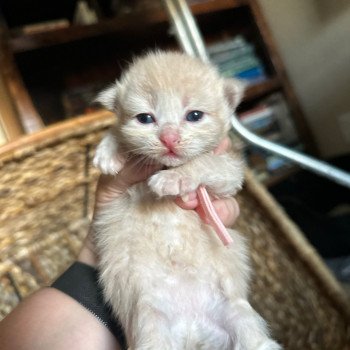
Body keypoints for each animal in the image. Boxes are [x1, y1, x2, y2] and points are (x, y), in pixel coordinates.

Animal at [93, 50, 282, 350]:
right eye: (145, 118)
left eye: (194, 115)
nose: (169, 138)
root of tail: (191, 328)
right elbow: (118, 131)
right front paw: (109, 150)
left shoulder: (229, 170)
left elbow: (202, 162)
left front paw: (175, 179)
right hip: (150, 325)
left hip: (238, 313)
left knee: (255, 341)